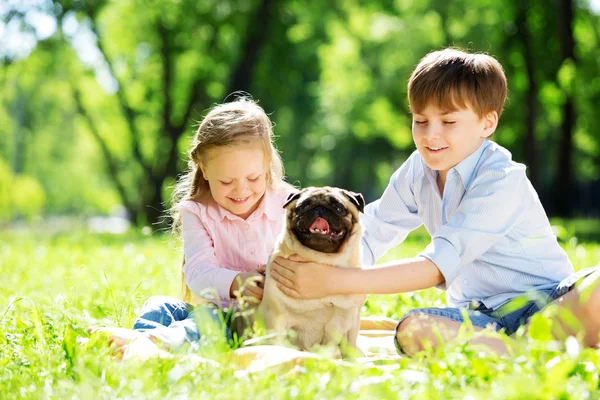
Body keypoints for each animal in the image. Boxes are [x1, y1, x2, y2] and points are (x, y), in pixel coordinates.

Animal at [258, 186, 366, 358]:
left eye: (338, 208)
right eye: (303, 206)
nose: (319, 208)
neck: (321, 261)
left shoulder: (351, 322)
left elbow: (349, 348)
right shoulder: (276, 318)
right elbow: (277, 344)